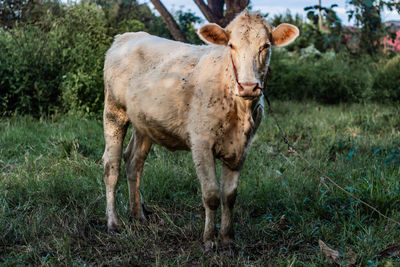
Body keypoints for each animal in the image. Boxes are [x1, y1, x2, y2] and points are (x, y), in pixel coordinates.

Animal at [101, 10, 298, 252]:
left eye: (266, 46)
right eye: (231, 45)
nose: (249, 86)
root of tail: (126, 36)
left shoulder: (242, 148)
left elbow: (229, 196)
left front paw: (228, 240)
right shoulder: (201, 143)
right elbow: (212, 194)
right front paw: (209, 241)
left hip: (144, 123)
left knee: (134, 162)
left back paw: (139, 215)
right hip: (114, 111)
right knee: (112, 167)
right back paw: (113, 223)